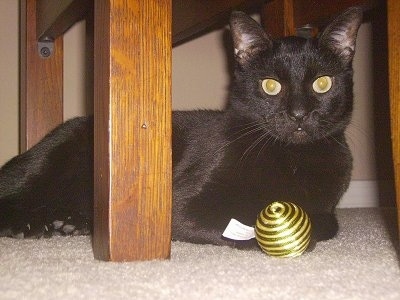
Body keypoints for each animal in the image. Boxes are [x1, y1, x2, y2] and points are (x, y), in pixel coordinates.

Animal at [0, 7, 362, 248]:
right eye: (270, 86)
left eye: (323, 83)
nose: (299, 114)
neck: (291, 159)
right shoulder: (184, 206)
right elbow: (240, 230)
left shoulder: (327, 205)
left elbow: (327, 222)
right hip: (54, 156)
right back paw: (28, 224)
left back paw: (67, 223)